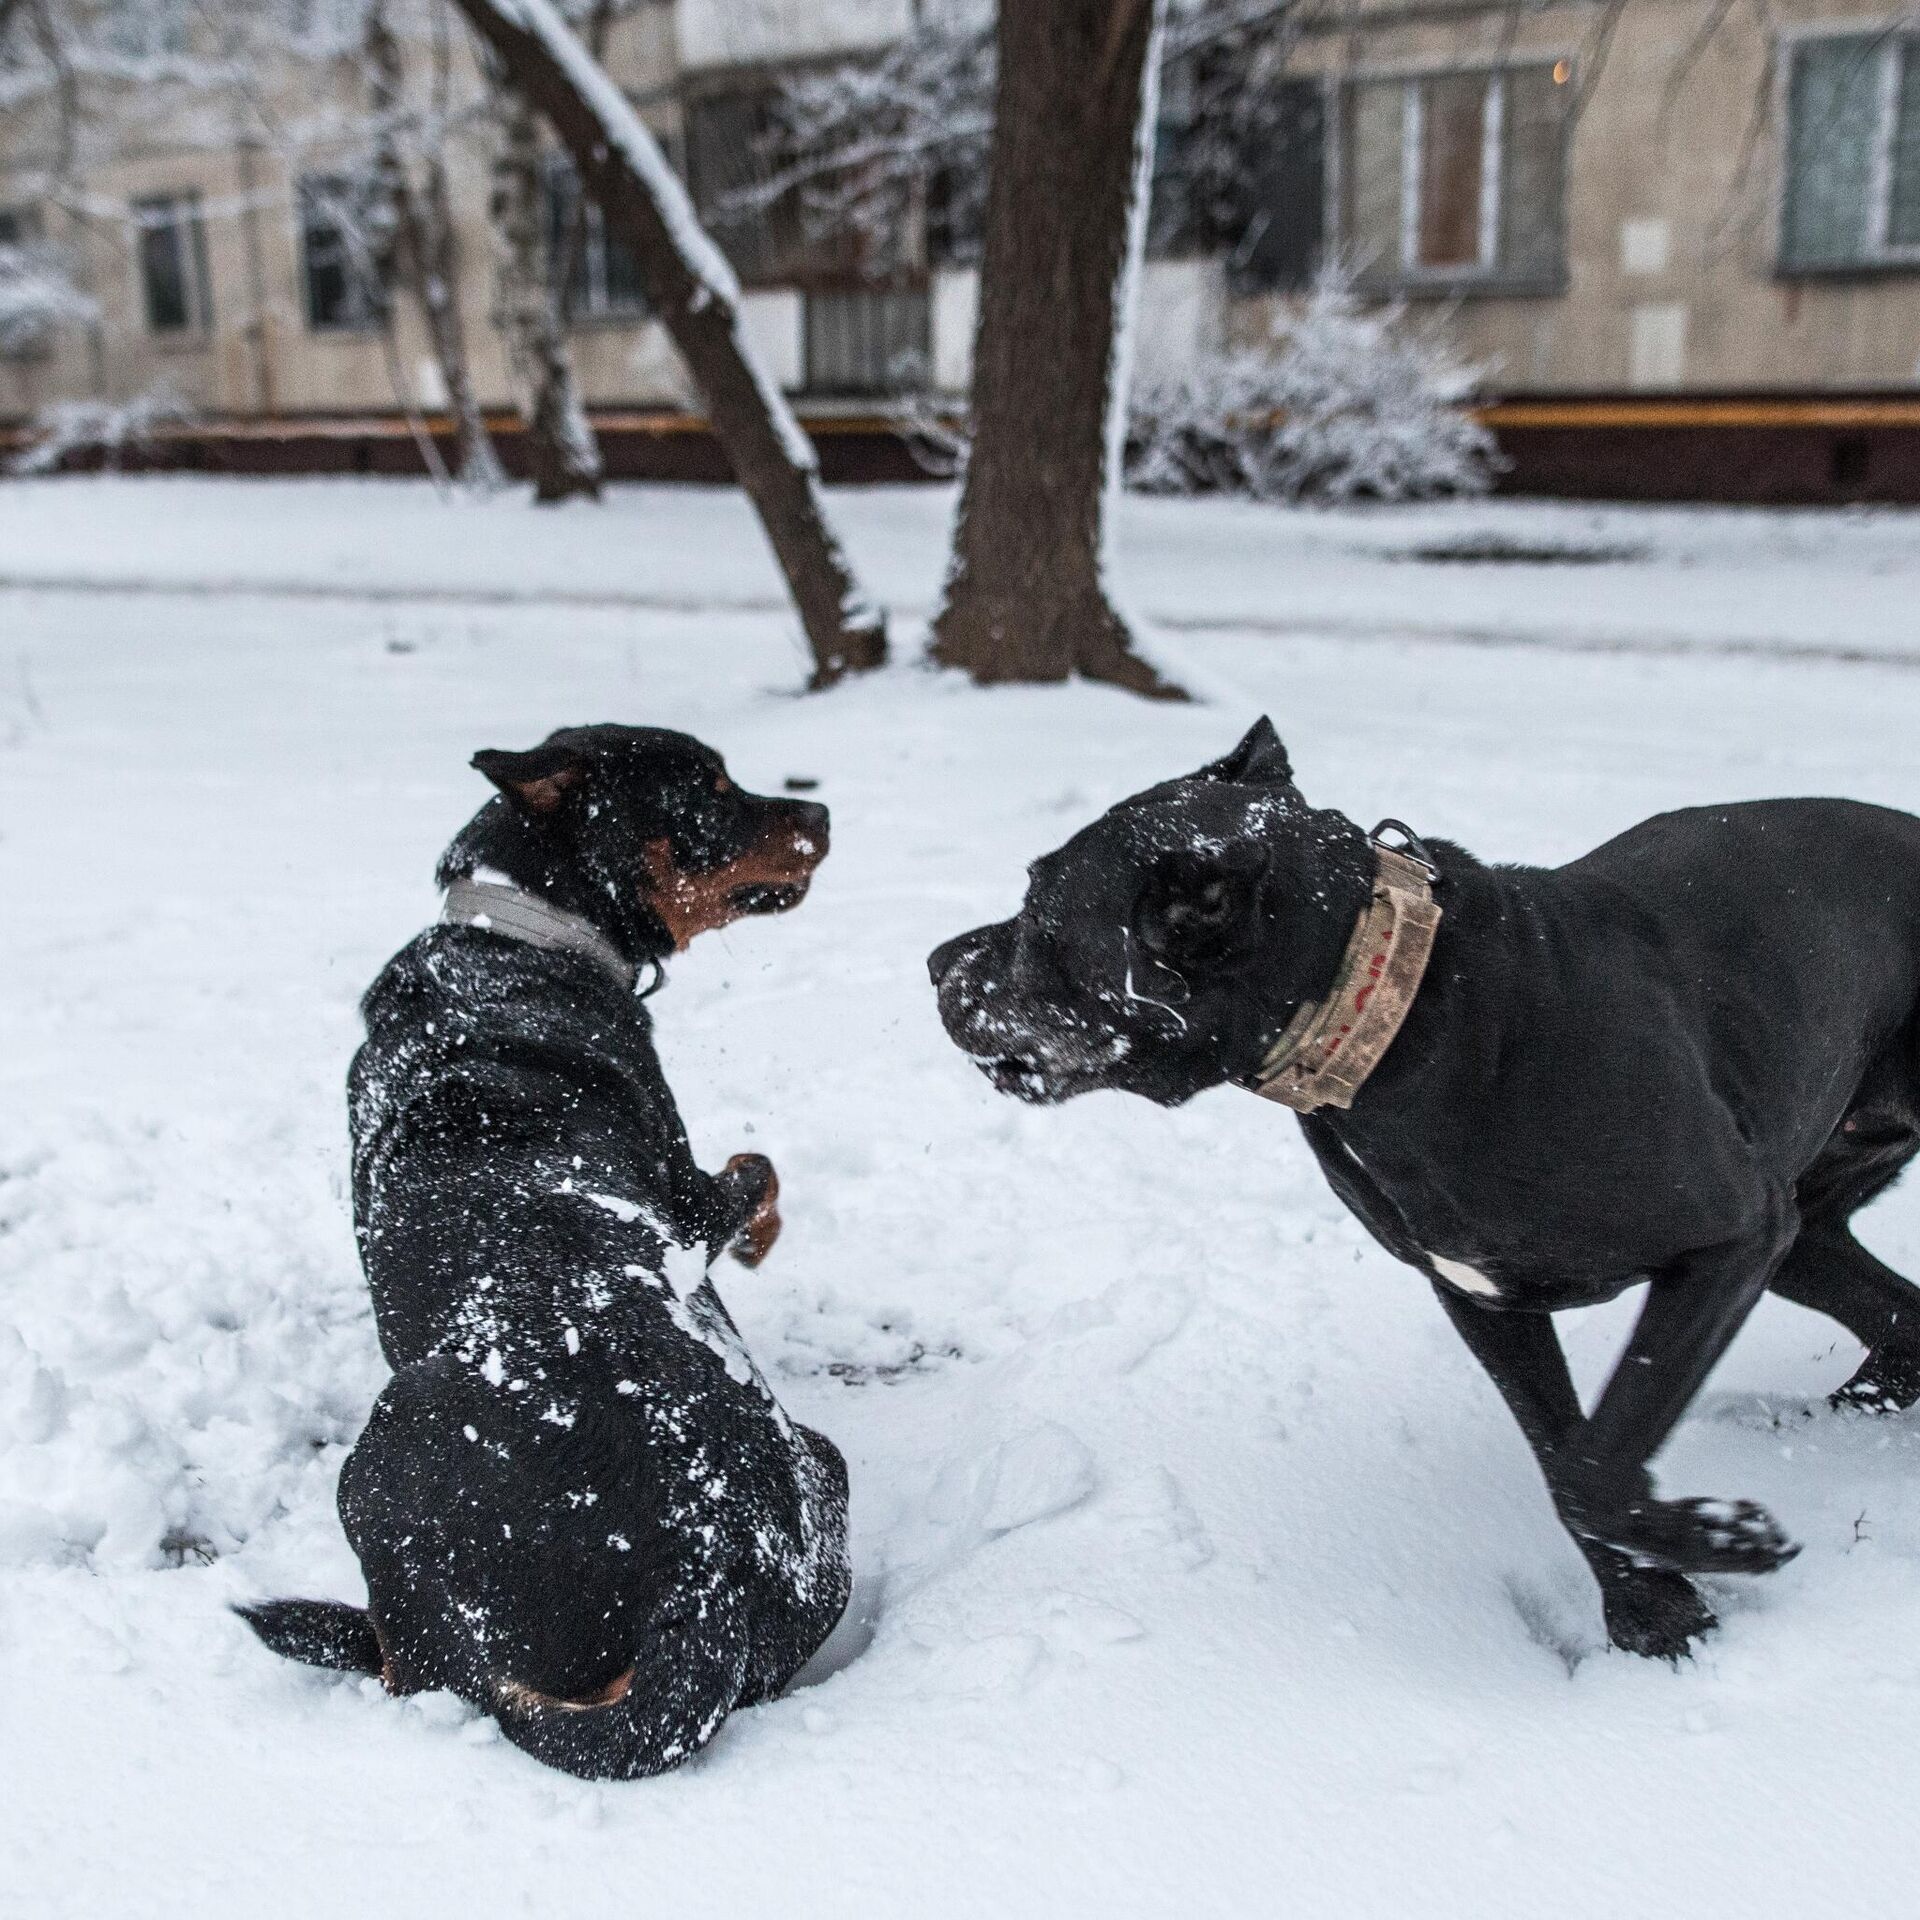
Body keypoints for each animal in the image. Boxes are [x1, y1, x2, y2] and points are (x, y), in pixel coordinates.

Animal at [240, 725, 848, 1774]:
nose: (820, 812)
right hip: (825, 1461)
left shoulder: (690, 1199)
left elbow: (757, 1170)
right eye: (710, 788)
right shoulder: (689, 1199)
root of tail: (710, 1576)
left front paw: (761, 1244)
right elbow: (758, 1170)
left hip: (378, 1463)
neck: (519, 935)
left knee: (422, 1668)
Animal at [925, 725, 1920, 1658]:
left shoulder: (1727, 1238)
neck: (1395, 1014)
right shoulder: (1484, 1297)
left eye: (1038, 913)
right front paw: (1654, 1611)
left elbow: (1600, 1464)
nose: (935, 960)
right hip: (1804, 1230)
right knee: (1901, 1315)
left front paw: (1727, 1543)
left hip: (1777, 1231)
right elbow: (1566, 1462)